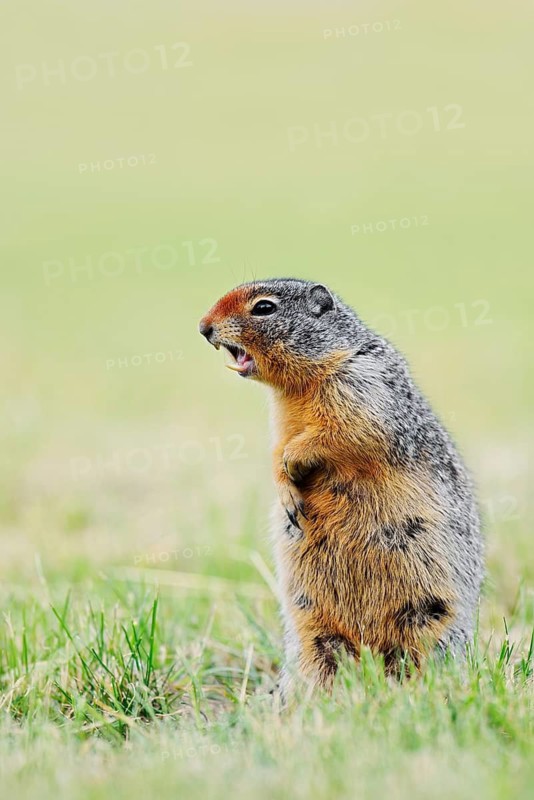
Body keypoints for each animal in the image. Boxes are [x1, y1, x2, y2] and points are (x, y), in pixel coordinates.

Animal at [199, 278, 483, 695]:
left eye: (264, 307)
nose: (203, 327)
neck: (300, 387)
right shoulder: (280, 420)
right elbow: (277, 450)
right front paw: (286, 491)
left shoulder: (360, 384)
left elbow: (343, 431)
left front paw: (296, 457)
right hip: (311, 627)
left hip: (433, 616)